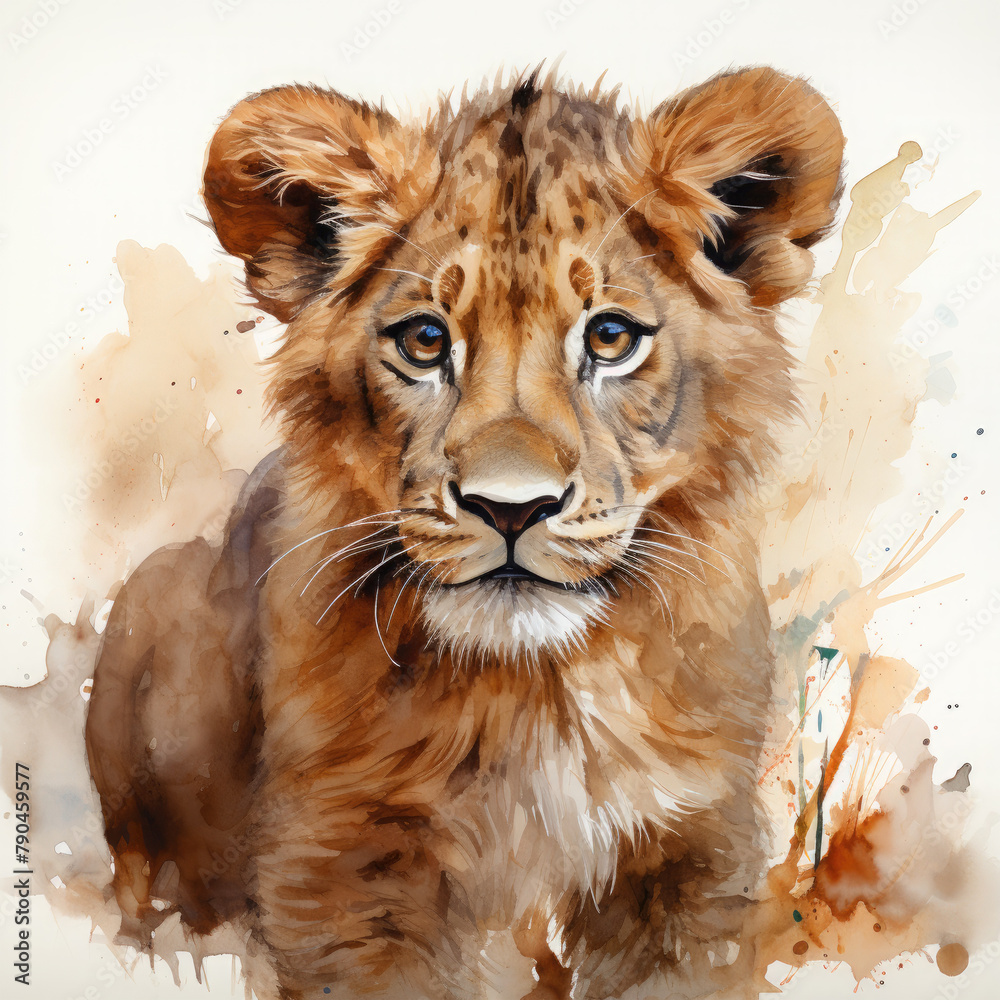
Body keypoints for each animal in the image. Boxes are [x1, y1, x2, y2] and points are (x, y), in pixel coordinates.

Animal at [84, 66, 844, 999]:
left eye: (610, 337)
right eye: (423, 340)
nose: (510, 507)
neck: (536, 689)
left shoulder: (692, 846)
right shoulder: (341, 855)